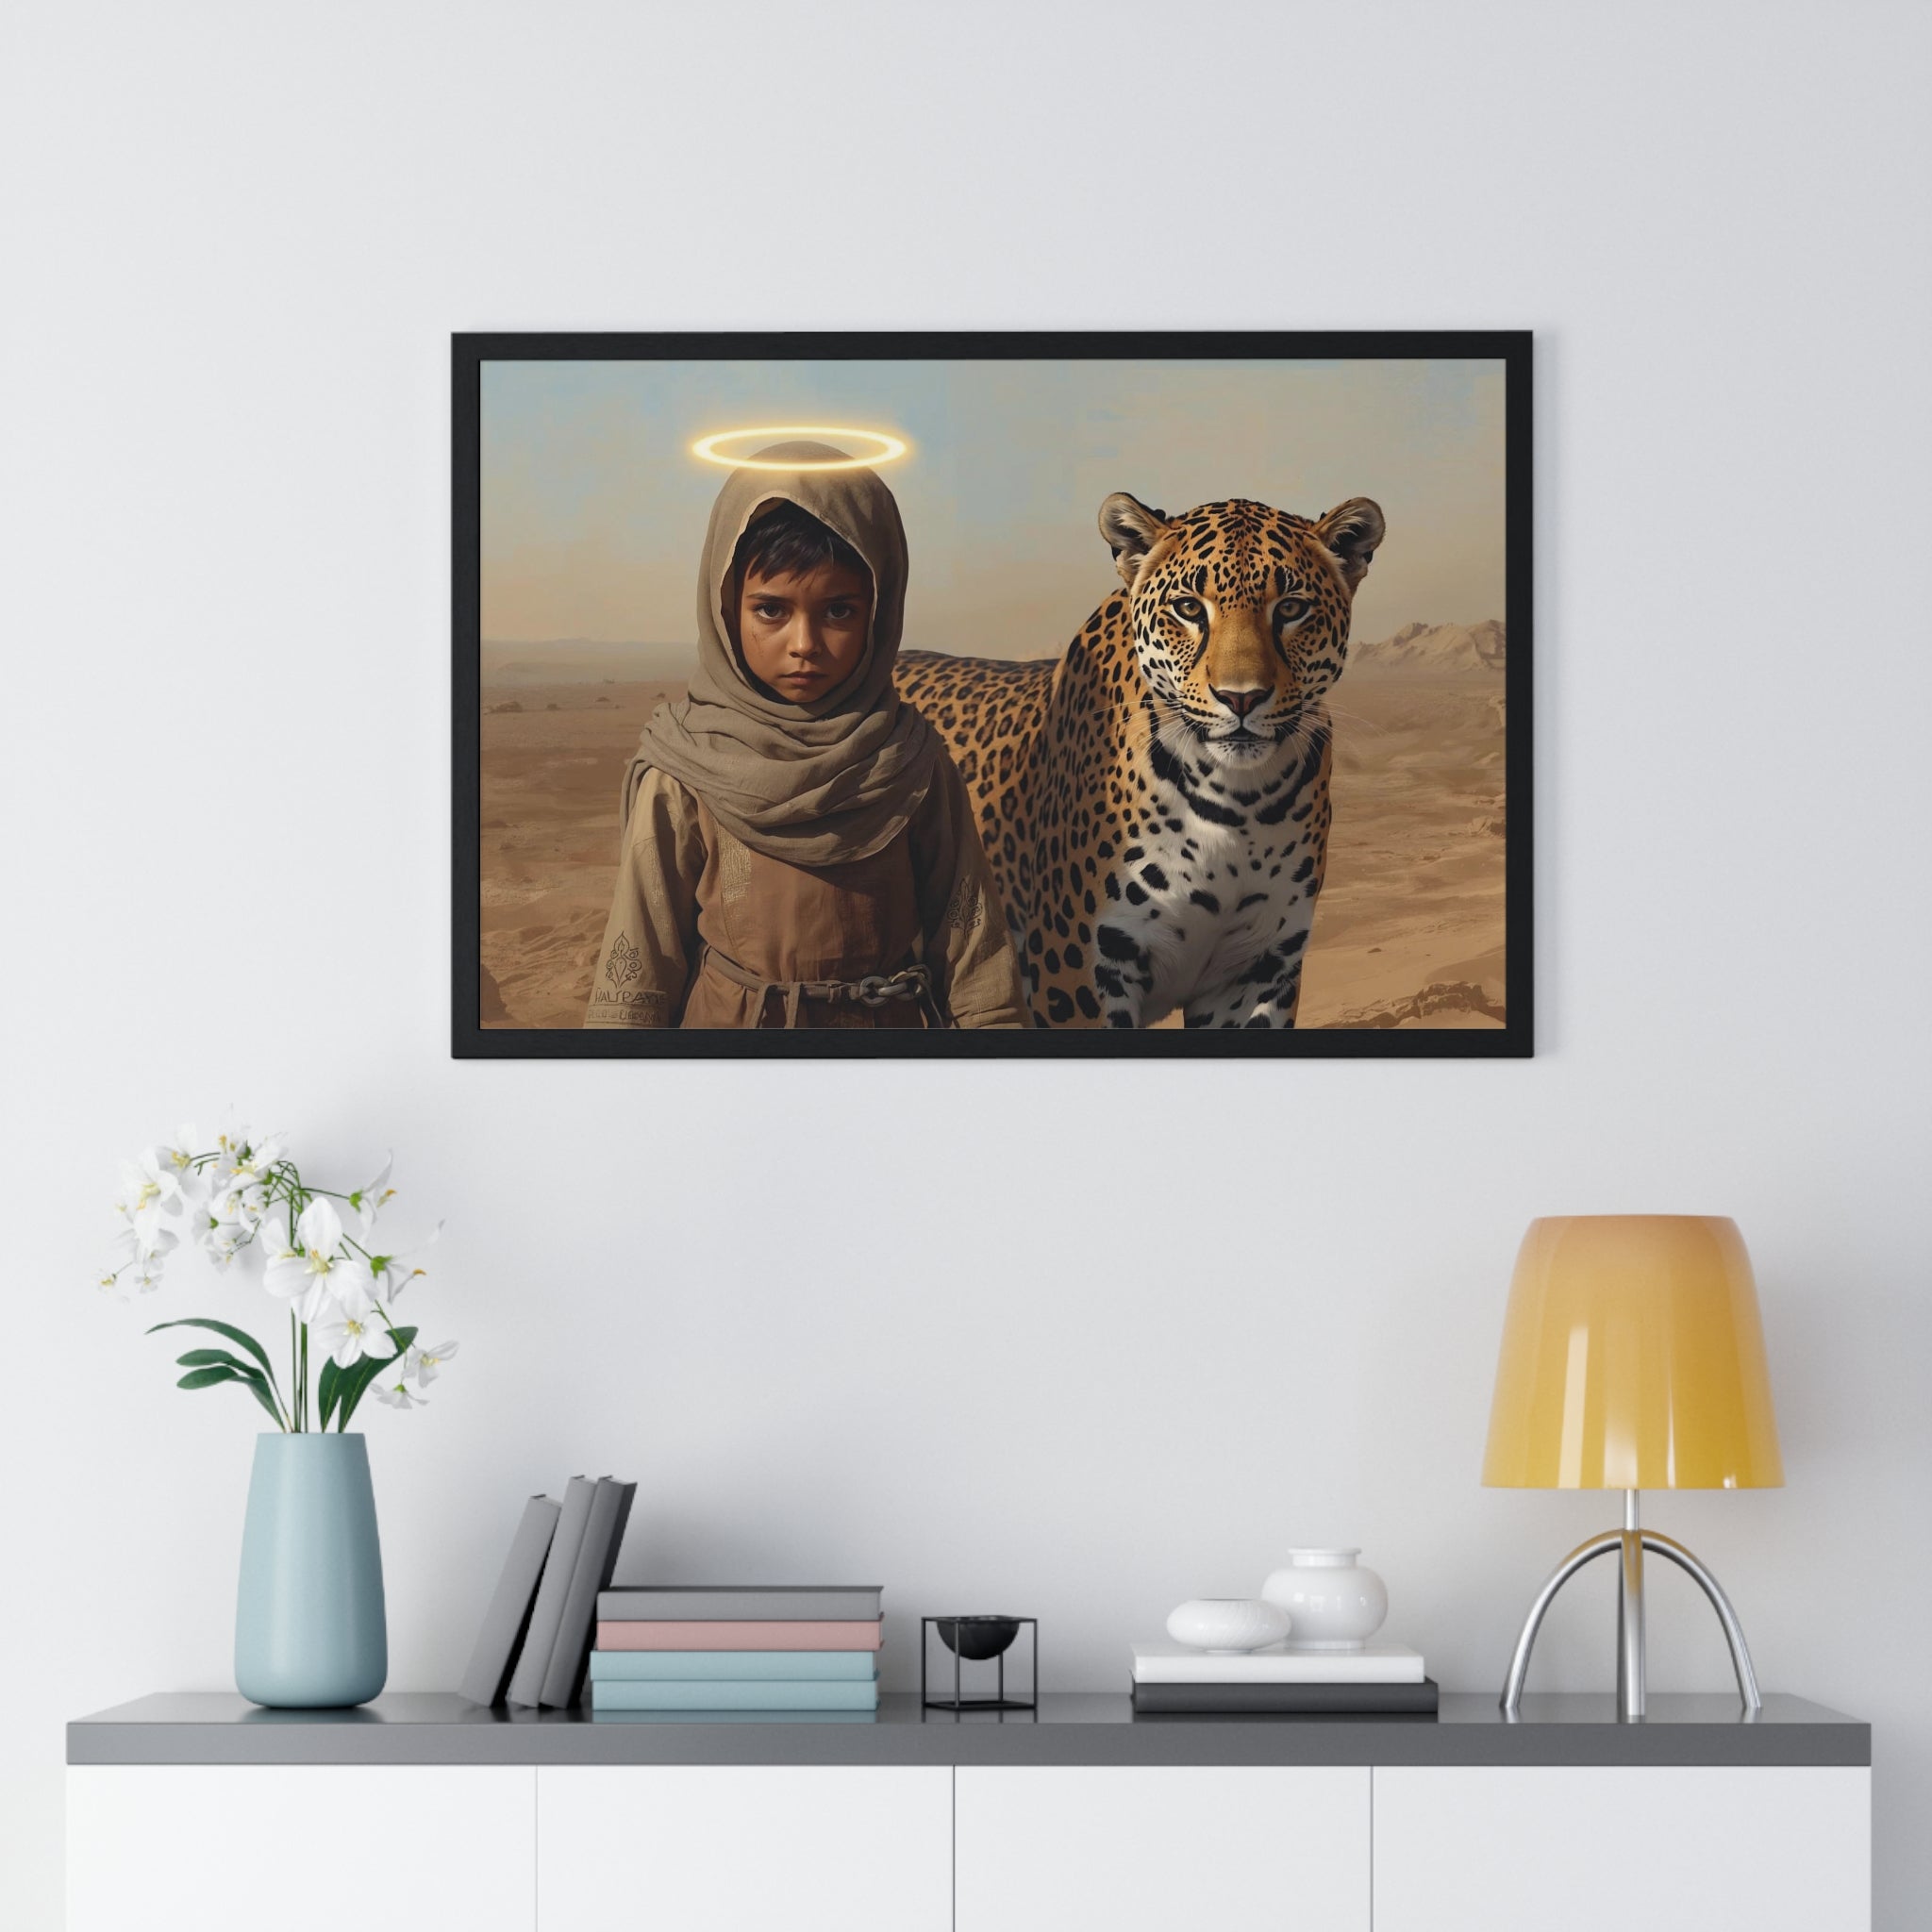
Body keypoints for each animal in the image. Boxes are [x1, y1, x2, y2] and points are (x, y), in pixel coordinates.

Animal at [896, 489, 1385, 1028]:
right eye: (1189, 607)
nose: (1241, 698)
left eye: (1292, 608)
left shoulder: (1259, 970)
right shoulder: (1077, 969)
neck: (1237, 805)